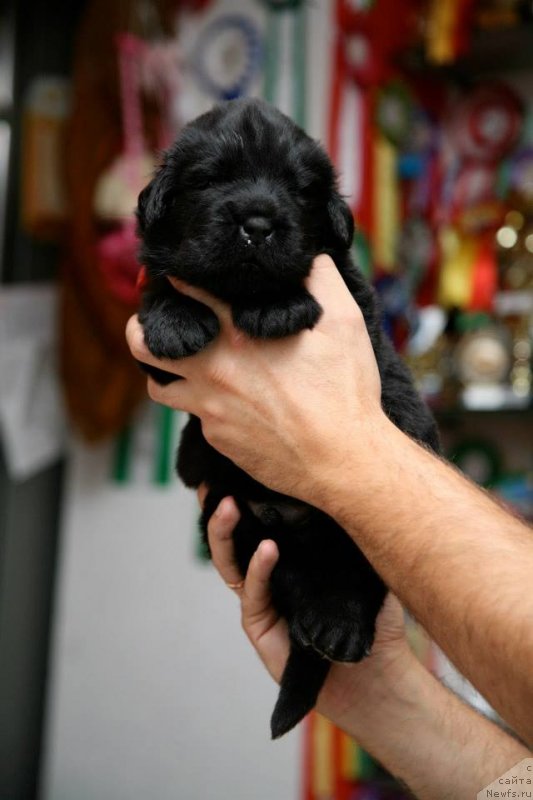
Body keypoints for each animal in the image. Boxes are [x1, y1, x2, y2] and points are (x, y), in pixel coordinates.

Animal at [137, 98, 440, 736]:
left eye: (299, 190)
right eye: (209, 179)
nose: (258, 223)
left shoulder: (356, 309)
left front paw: (276, 306)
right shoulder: (162, 369)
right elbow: (164, 290)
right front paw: (177, 319)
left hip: (362, 526)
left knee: (354, 573)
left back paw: (337, 628)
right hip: (241, 523)